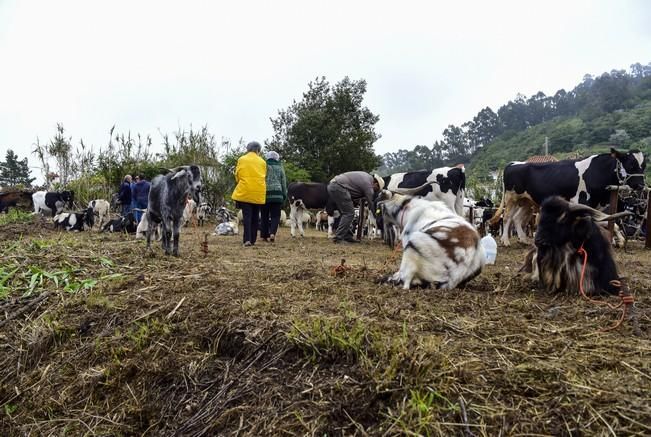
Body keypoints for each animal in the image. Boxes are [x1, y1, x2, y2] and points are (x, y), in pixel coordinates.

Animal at [494, 149, 648, 245]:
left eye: (644, 166)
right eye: (631, 165)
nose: (641, 185)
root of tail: (514, 163)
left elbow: (607, 223)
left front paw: (619, 240)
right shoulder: (582, 201)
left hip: (526, 201)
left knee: (517, 218)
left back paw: (523, 239)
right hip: (511, 198)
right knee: (507, 217)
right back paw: (505, 240)